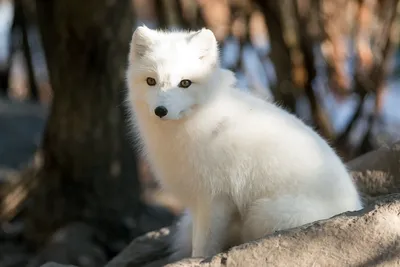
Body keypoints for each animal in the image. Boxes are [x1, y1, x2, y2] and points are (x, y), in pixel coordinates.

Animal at [125, 26, 362, 262]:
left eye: (185, 83)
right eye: (151, 81)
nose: (160, 111)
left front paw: (196, 260)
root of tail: (354, 205)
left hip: (263, 213)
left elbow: (203, 245)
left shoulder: (215, 197)